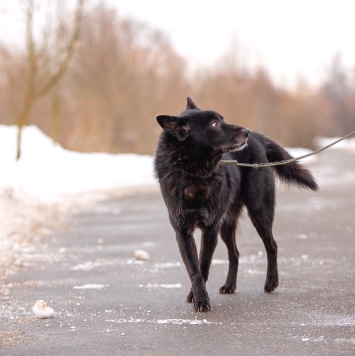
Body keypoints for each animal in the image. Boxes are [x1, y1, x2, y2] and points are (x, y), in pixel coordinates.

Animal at [154, 97, 318, 312]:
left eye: (222, 119)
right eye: (215, 124)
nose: (246, 131)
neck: (193, 173)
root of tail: (258, 139)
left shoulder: (210, 230)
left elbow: (203, 265)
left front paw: (199, 299)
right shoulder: (183, 232)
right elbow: (194, 269)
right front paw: (199, 298)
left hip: (259, 212)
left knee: (272, 245)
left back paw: (271, 282)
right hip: (226, 225)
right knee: (235, 253)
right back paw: (230, 285)